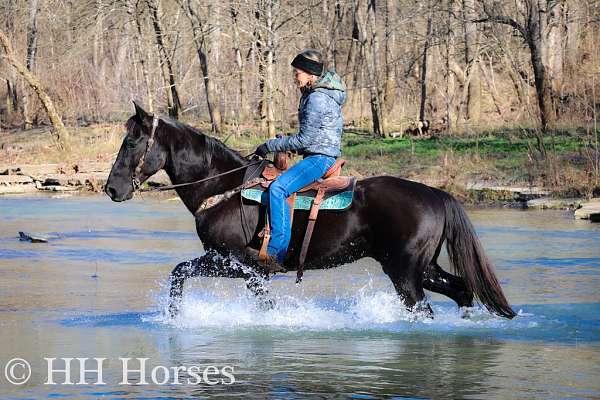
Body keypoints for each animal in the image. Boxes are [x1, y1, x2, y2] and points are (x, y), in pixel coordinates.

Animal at [104, 103, 516, 318]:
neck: (223, 188)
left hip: (406, 275)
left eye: (131, 142)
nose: (112, 188)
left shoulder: (240, 264)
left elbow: (179, 274)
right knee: (462, 291)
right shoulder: (246, 271)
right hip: (422, 268)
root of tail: (436, 193)